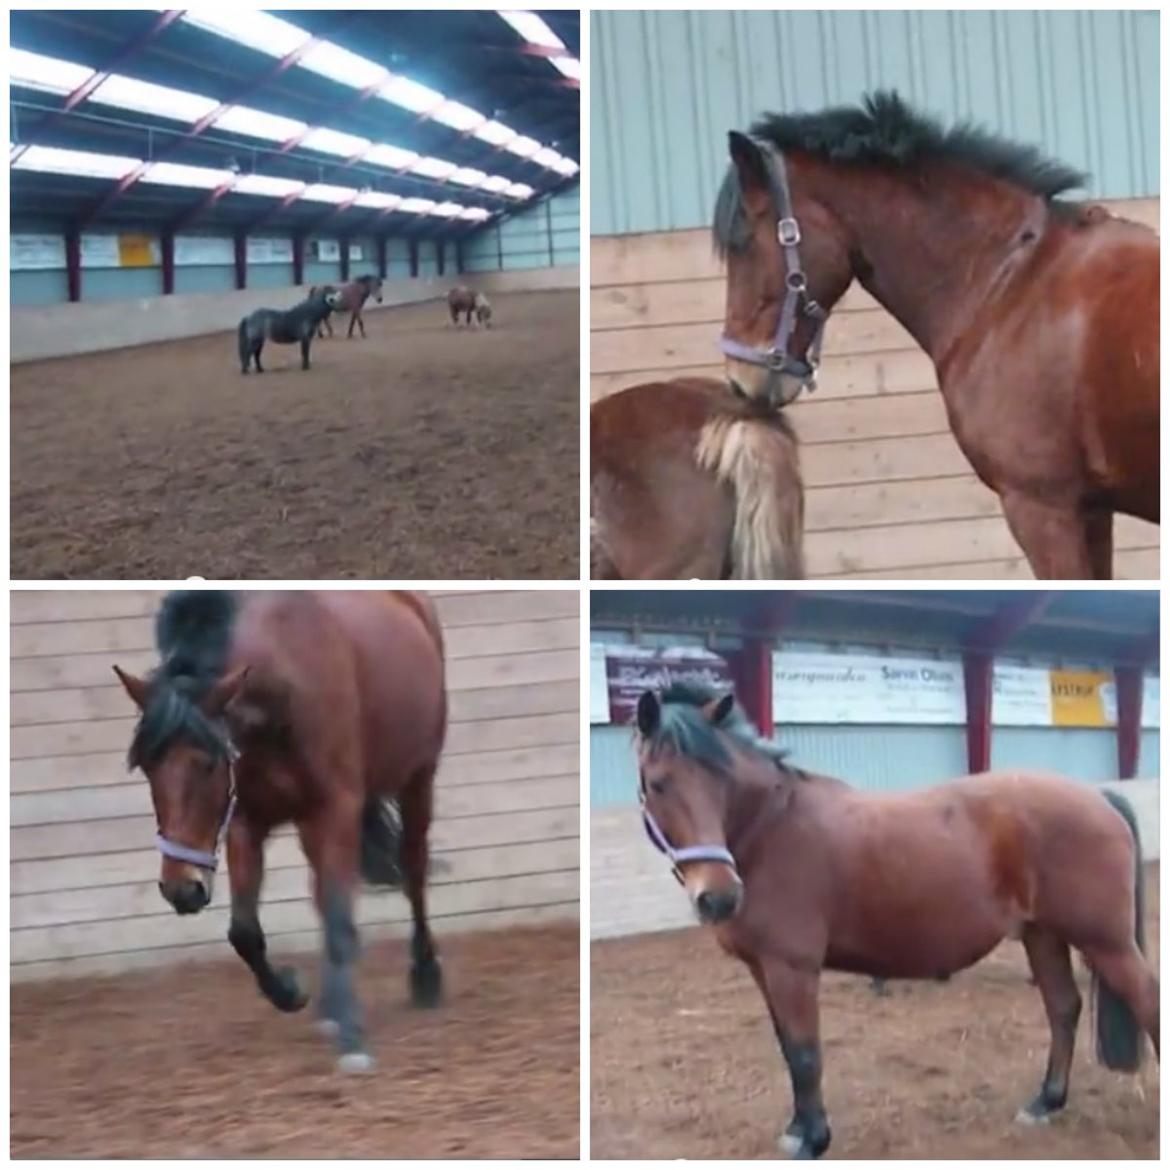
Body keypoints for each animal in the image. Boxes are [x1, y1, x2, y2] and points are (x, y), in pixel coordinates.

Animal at [112, 589, 447, 1072]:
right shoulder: (245, 821)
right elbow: (245, 933)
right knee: (322, 894)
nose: (181, 889)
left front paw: (353, 1037)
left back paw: (425, 976)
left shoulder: (337, 810)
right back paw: (330, 1005)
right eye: (146, 767)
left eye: (209, 762)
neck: (284, 693)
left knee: (413, 872)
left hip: (418, 778)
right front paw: (292, 992)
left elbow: (341, 918)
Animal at [634, 682, 1158, 1159]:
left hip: (1106, 943)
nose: (719, 897)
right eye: (657, 783)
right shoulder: (763, 969)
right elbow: (787, 1047)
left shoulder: (791, 968)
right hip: (1042, 935)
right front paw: (797, 1129)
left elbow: (805, 1054)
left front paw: (814, 1140)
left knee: (1146, 1003)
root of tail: (1099, 797)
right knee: (1063, 1008)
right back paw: (1045, 1103)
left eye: (721, 780)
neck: (771, 828)